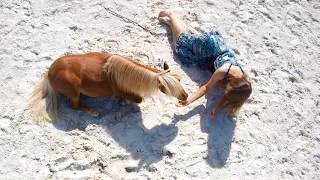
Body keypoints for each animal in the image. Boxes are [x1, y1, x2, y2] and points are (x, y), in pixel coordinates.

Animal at [28, 52, 188, 122]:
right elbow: (139, 99)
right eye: (168, 90)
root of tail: (49, 73)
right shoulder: (123, 92)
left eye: (180, 80)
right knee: (74, 105)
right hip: (73, 91)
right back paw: (93, 112)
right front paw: (123, 102)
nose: (185, 97)